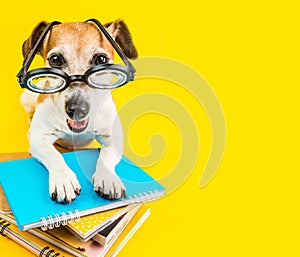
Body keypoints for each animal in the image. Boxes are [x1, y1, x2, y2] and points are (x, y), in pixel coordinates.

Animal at [19, 19, 138, 203]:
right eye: (55, 59)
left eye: (101, 59)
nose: (77, 109)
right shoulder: (39, 138)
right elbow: (54, 154)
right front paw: (63, 179)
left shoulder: (113, 138)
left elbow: (106, 157)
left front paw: (108, 178)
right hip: (27, 98)